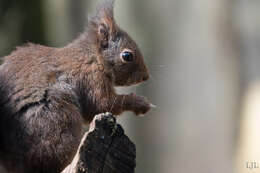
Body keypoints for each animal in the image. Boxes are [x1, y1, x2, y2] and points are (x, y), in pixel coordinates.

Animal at [0, 0, 152, 173]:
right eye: (127, 56)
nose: (146, 76)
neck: (94, 56)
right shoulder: (91, 78)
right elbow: (103, 104)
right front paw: (141, 103)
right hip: (56, 118)